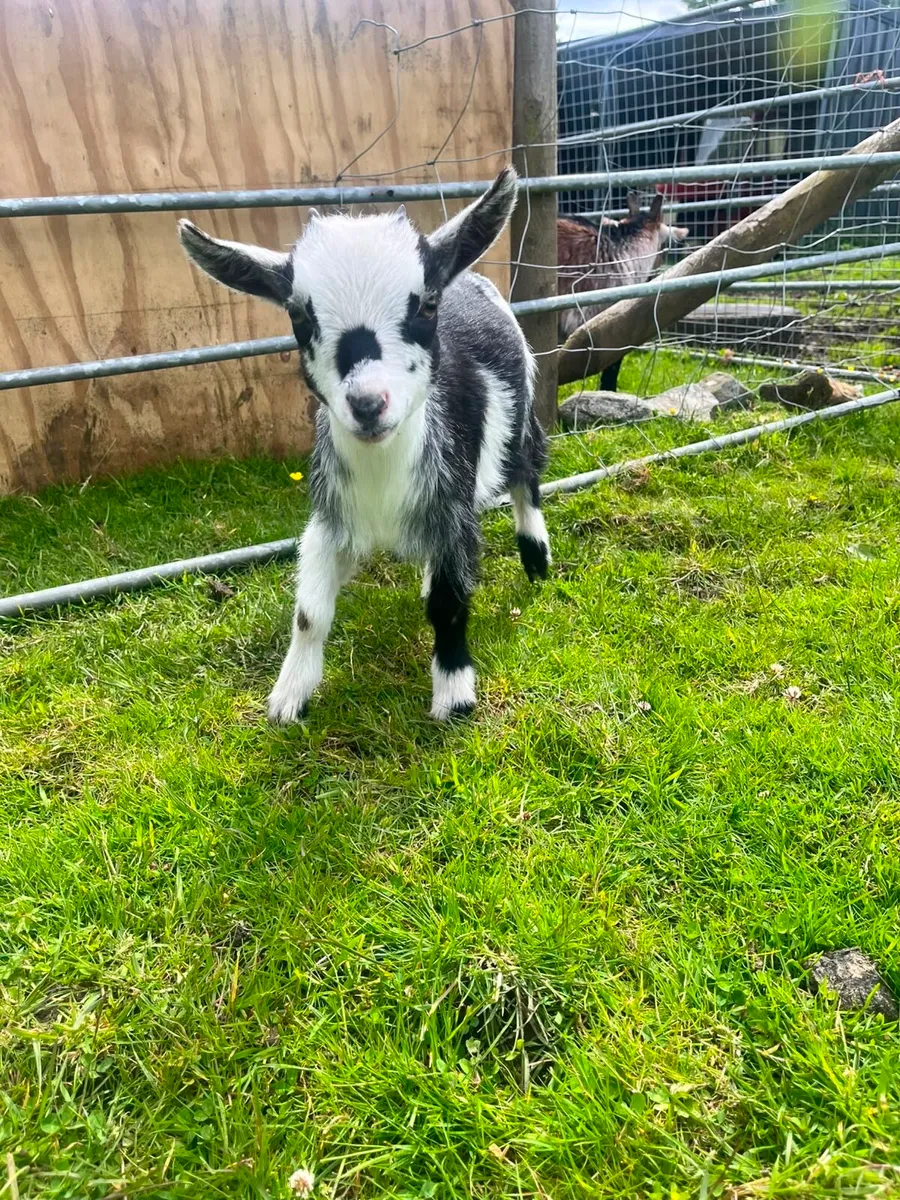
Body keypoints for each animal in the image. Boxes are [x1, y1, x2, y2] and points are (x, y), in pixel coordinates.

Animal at [178, 167, 550, 724]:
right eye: (299, 316)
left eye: (427, 304)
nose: (368, 403)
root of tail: (473, 280)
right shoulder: (331, 514)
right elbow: (310, 612)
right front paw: (289, 697)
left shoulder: (452, 504)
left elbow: (449, 601)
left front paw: (454, 695)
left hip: (521, 413)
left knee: (527, 474)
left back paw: (536, 558)